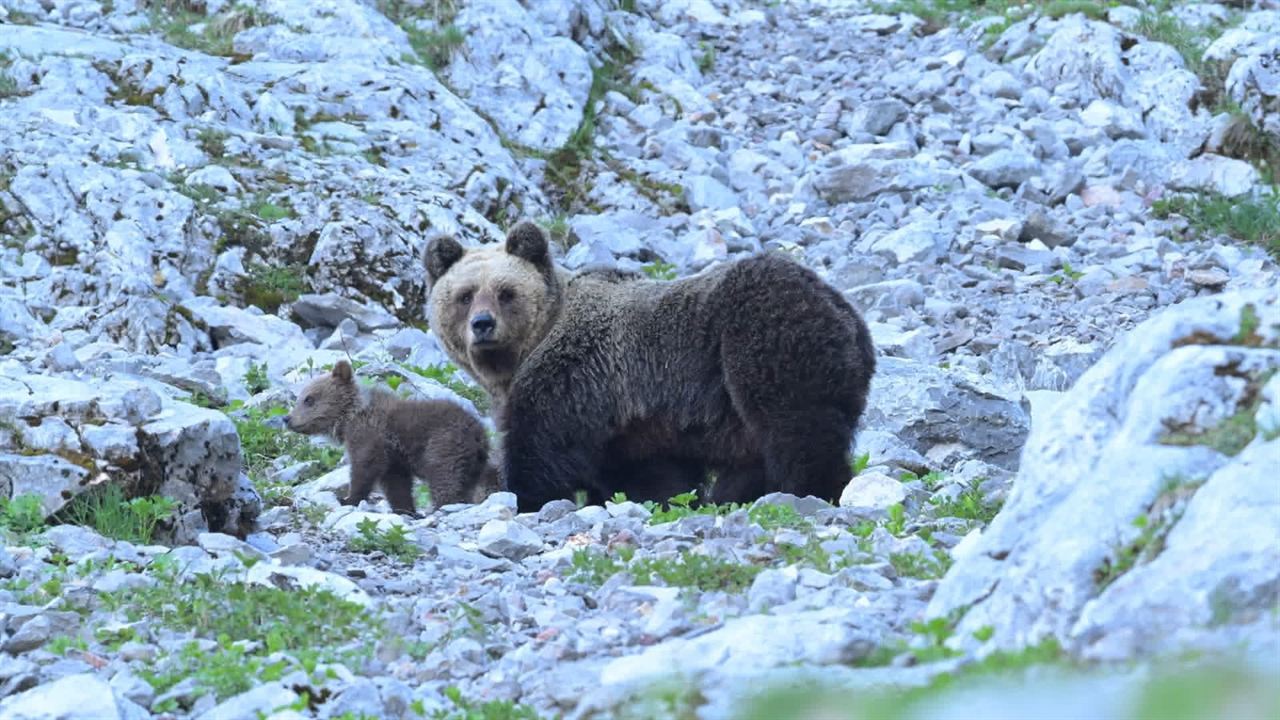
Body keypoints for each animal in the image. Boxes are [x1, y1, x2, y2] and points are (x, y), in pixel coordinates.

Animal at [424, 221, 875, 512]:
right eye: (465, 294)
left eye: (506, 292)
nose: (483, 325)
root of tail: (845, 311)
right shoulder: (639, 421)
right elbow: (652, 475)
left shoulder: (572, 378)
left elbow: (541, 449)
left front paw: (524, 497)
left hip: (762, 335)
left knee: (796, 428)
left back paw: (811, 491)